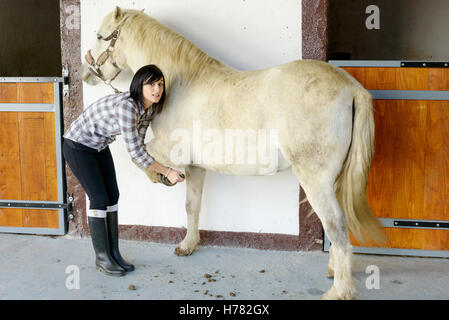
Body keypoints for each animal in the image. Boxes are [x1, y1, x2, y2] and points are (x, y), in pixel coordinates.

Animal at [82, 6, 384, 298]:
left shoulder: (171, 148)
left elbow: (141, 153)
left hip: (316, 180)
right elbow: (192, 205)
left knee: (336, 225)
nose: (87, 74)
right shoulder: (195, 166)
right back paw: (333, 272)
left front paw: (159, 176)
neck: (182, 84)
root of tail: (351, 87)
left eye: (99, 35)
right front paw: (187, 245)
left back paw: (339, 292)